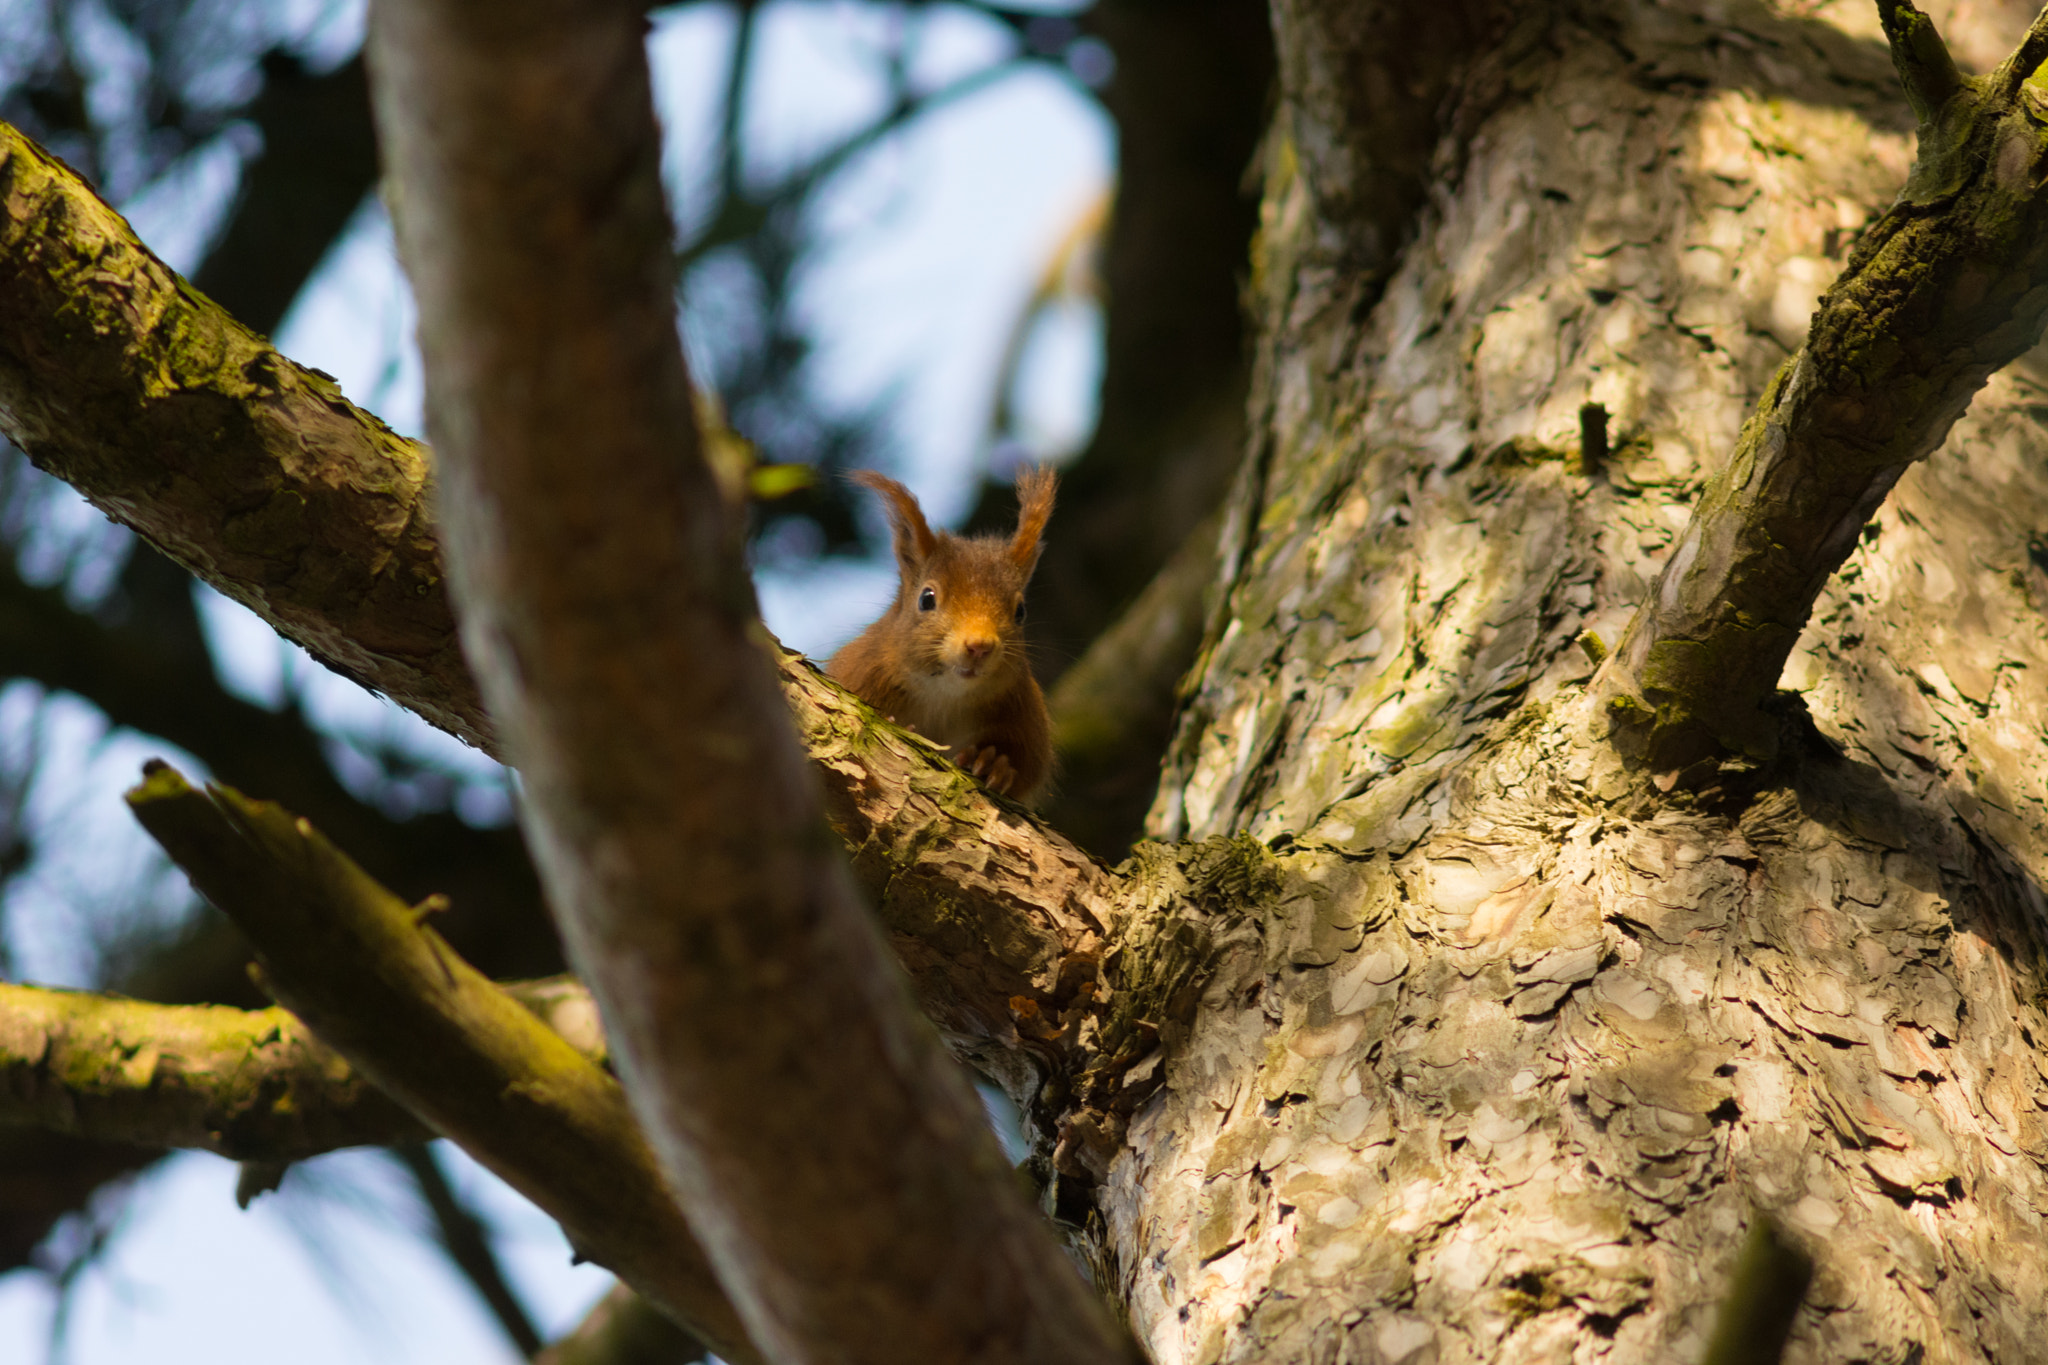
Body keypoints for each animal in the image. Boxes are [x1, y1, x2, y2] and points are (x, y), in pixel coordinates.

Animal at [831, 466, 1056, 802]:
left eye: (1021, 611)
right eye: (926, 599)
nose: (979, 646)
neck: (944, 695)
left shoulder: (1022, 716)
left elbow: (1026, 768)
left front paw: (995, 763)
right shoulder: (861, 672)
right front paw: (899, 724)